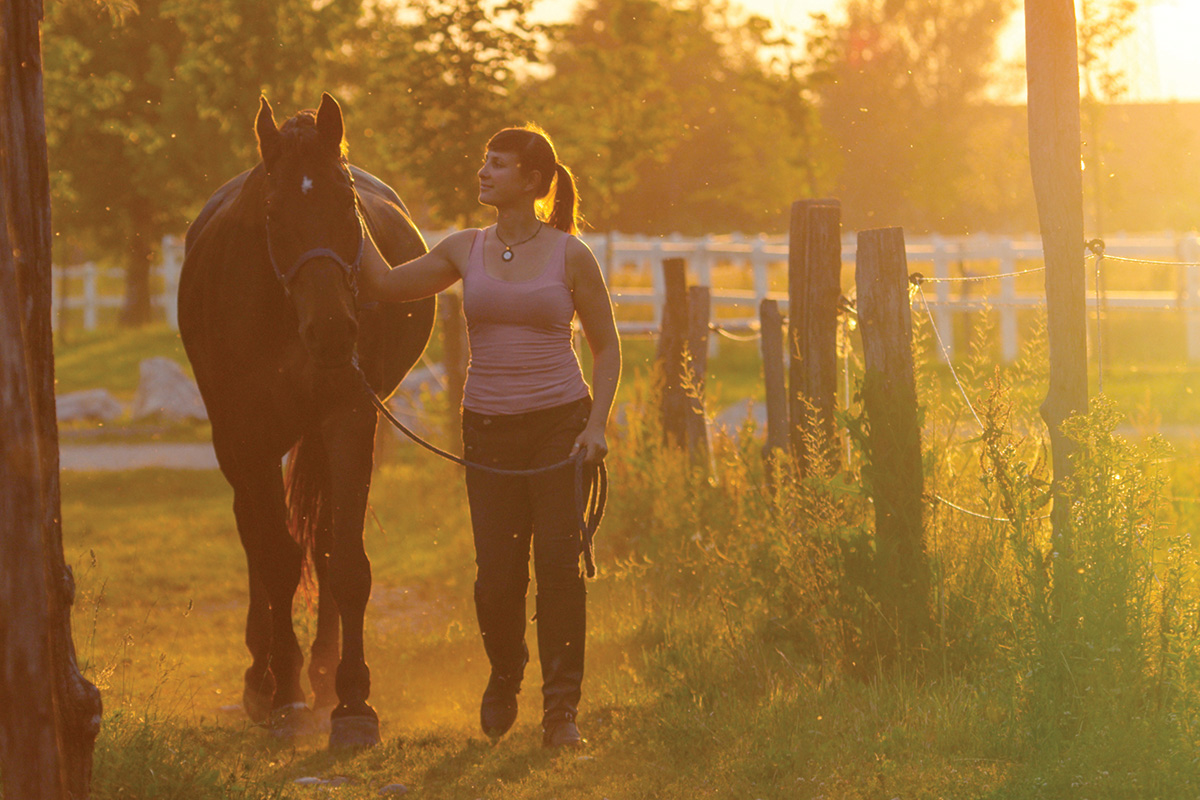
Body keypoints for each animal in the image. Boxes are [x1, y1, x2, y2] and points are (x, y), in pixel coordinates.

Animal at [178, 93, 434, 748]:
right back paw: (262, 675)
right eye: (273, 209)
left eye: (346, 203)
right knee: (255, 537)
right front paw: (285, 694)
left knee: (316, 541)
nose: (334, 331)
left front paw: (351, 700)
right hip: (238, 444)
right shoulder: (248, 434)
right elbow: (275, 558)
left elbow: (343, 560)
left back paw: (320, 674)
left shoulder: (348, 418)